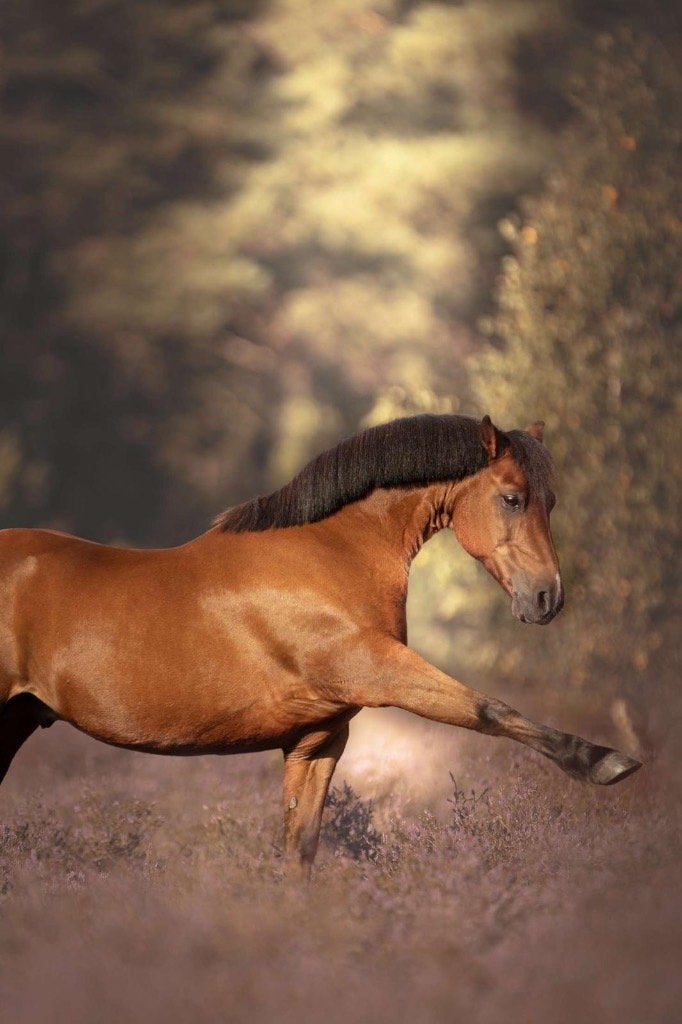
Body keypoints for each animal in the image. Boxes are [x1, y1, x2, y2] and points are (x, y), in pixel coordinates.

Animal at [0, 413, 641, 878]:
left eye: (550, 501)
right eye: (512, 498)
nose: (547, 598)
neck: (332, 555)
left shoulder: (316, 740)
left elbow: (300, 850)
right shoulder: (381, 671)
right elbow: (488, 708)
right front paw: (604, 762)